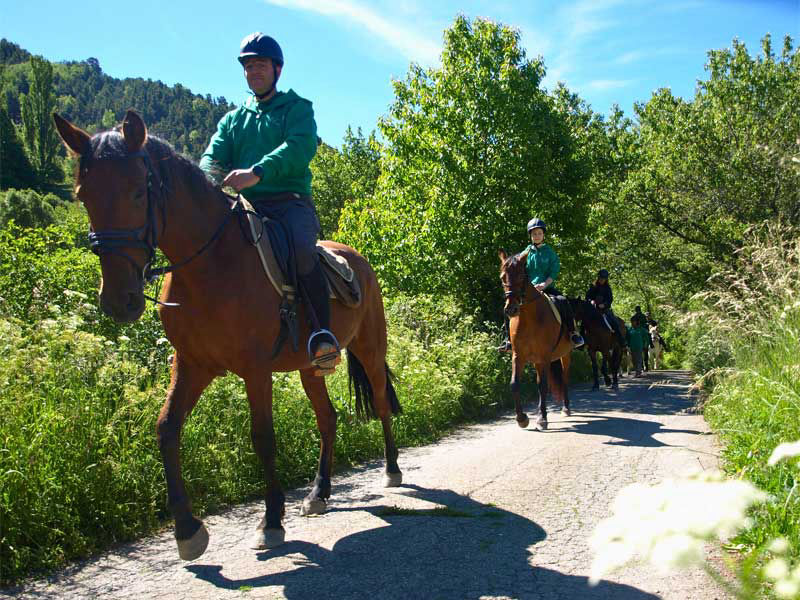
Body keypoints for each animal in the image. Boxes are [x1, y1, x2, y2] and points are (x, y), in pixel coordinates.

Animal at [51, 111, 400, 564]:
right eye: (83, 195)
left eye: (137, 192)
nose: (118, 301)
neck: (210, 266)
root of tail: (357, 259)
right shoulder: (192, 366)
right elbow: (166, 429)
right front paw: (187, 530)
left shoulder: (255, 370)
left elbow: (263, 439)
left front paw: (270, 522)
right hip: (311, 368)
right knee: (327, 418)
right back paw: (318, 493)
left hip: (370, 350)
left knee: (381, 404)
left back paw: (392, 470)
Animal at [496, 250, 572, 432]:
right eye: (502, 277)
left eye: (521, 276)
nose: (511, 309)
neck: (529, 317)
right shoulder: (518, 356)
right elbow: (515, 384)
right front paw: (522, 419)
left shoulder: (545, 356)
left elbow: (543, 386)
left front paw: (542, 419)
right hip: (538, 361)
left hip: (564, 355)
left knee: (564, 378)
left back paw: (565, 408)